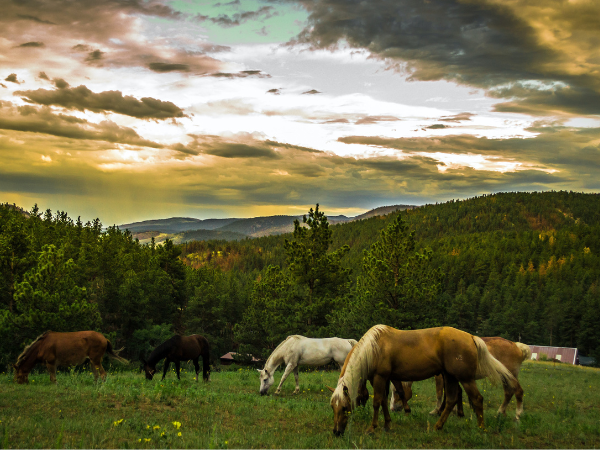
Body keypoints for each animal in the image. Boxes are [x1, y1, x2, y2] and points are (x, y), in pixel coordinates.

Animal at [328, 326, 516, 436]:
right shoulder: (383, 379)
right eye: (332, 407)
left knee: (476, 399)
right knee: (451, 400)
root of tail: (471, 337)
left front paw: (372, 428)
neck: (374, 347)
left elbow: (377, 403)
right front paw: (387, 425)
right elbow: (383, 402)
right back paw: (438, 426)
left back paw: (481, 429)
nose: (336, 432)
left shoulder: (380, 377)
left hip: (465, 378)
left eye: (344, 407)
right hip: (450, 376)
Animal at [392, 336, 532, 420]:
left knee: (518, 391)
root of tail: (517, 346)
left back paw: (518, 415)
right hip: (505, 376)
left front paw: (437, 411)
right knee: (508, 392)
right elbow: (455, 392)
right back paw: (500, 412)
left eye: (396, 392)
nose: (393, 409)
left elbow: (440, 394)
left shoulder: (440, 377)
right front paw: (455, 411)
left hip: (510, 376)